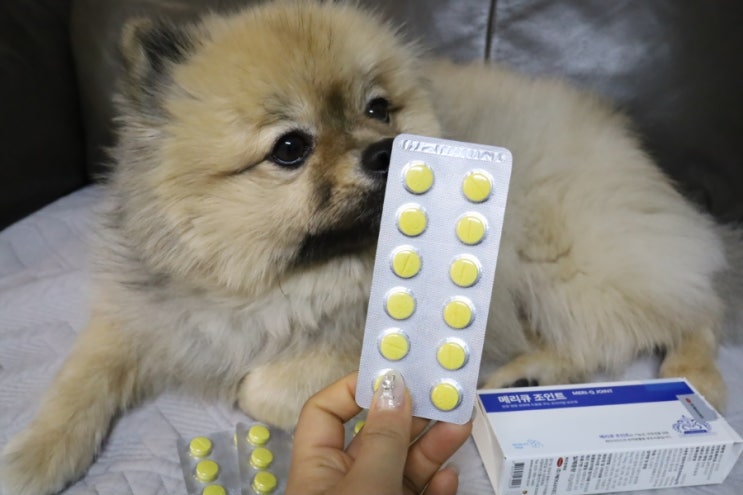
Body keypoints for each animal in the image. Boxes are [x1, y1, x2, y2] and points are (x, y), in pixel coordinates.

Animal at [3, 1, 741, 493]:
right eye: (290, 147)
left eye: (378, 108)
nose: (386, 150)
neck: (272, 281)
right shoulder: (143, 318)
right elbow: (80, 381)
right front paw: (31, 457)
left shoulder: (346, 348)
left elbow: (258, 383)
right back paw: (526, 376)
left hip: (559, 256)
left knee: (687, 301)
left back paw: (694, 379)